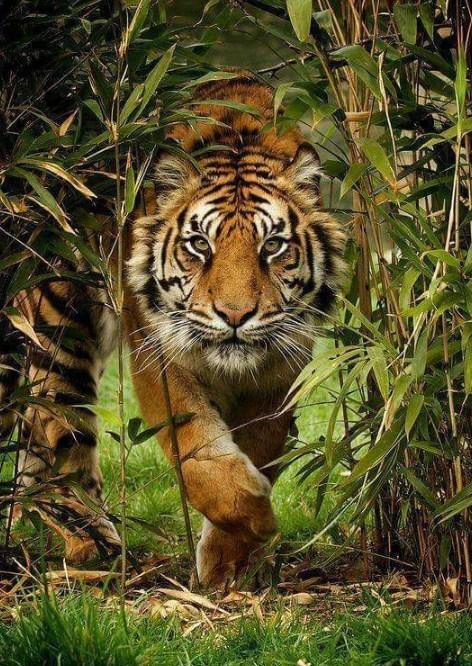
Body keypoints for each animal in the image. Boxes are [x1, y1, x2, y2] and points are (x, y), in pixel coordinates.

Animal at [0, 73, 345, 588]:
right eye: (199, 244)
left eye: (273, 246)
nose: (235, 315)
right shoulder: (159, 352)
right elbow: (196, 450)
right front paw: (255, 518)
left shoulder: (282, 365)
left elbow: (261, 445)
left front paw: (229, 562)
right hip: (60, 323)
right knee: (57, 431)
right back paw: (96, 546)